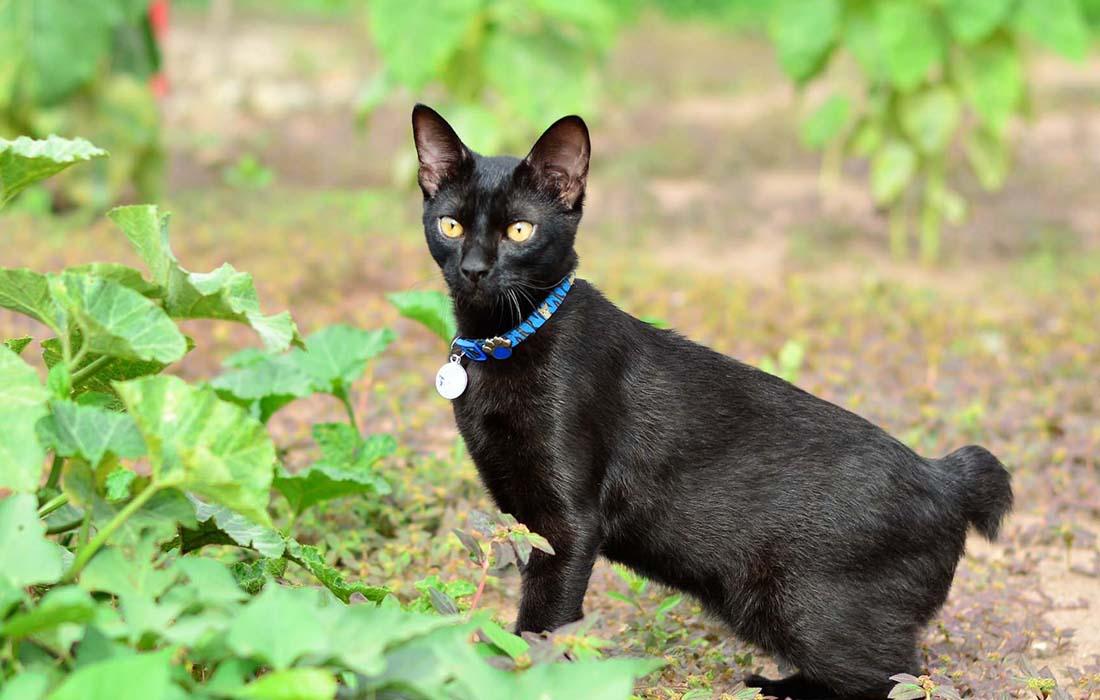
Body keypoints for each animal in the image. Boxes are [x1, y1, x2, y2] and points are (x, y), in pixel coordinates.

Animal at [411, 104, 1012, 700]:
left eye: (520, 230)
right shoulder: (522, 514)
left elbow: (541, 626)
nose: (474, 269)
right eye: (451, 225)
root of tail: (947, 477)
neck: (501, 342)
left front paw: (517, 680)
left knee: (894, 676)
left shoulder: (567, 524)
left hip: (799, 606)